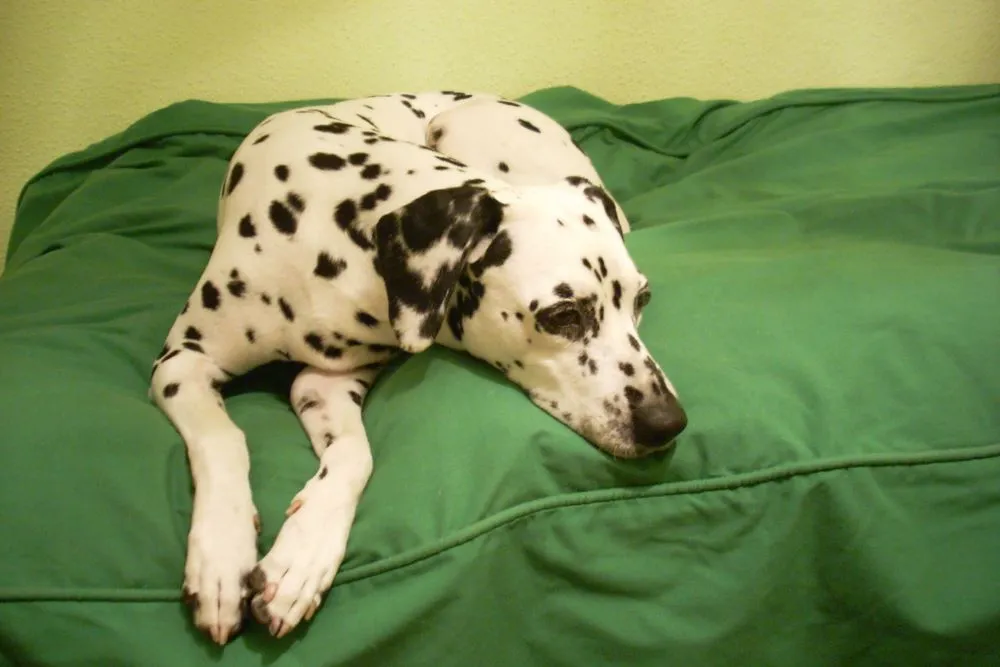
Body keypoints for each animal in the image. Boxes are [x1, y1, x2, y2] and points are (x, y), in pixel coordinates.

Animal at [149, 91, 687, 644]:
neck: (337, 240)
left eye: (641, 300)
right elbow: (222, 438)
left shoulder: (325, 382)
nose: (668, 423)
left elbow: (356, 457)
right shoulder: (182, 363)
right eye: (563, 315)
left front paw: (303, 557)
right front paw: (221, 556)